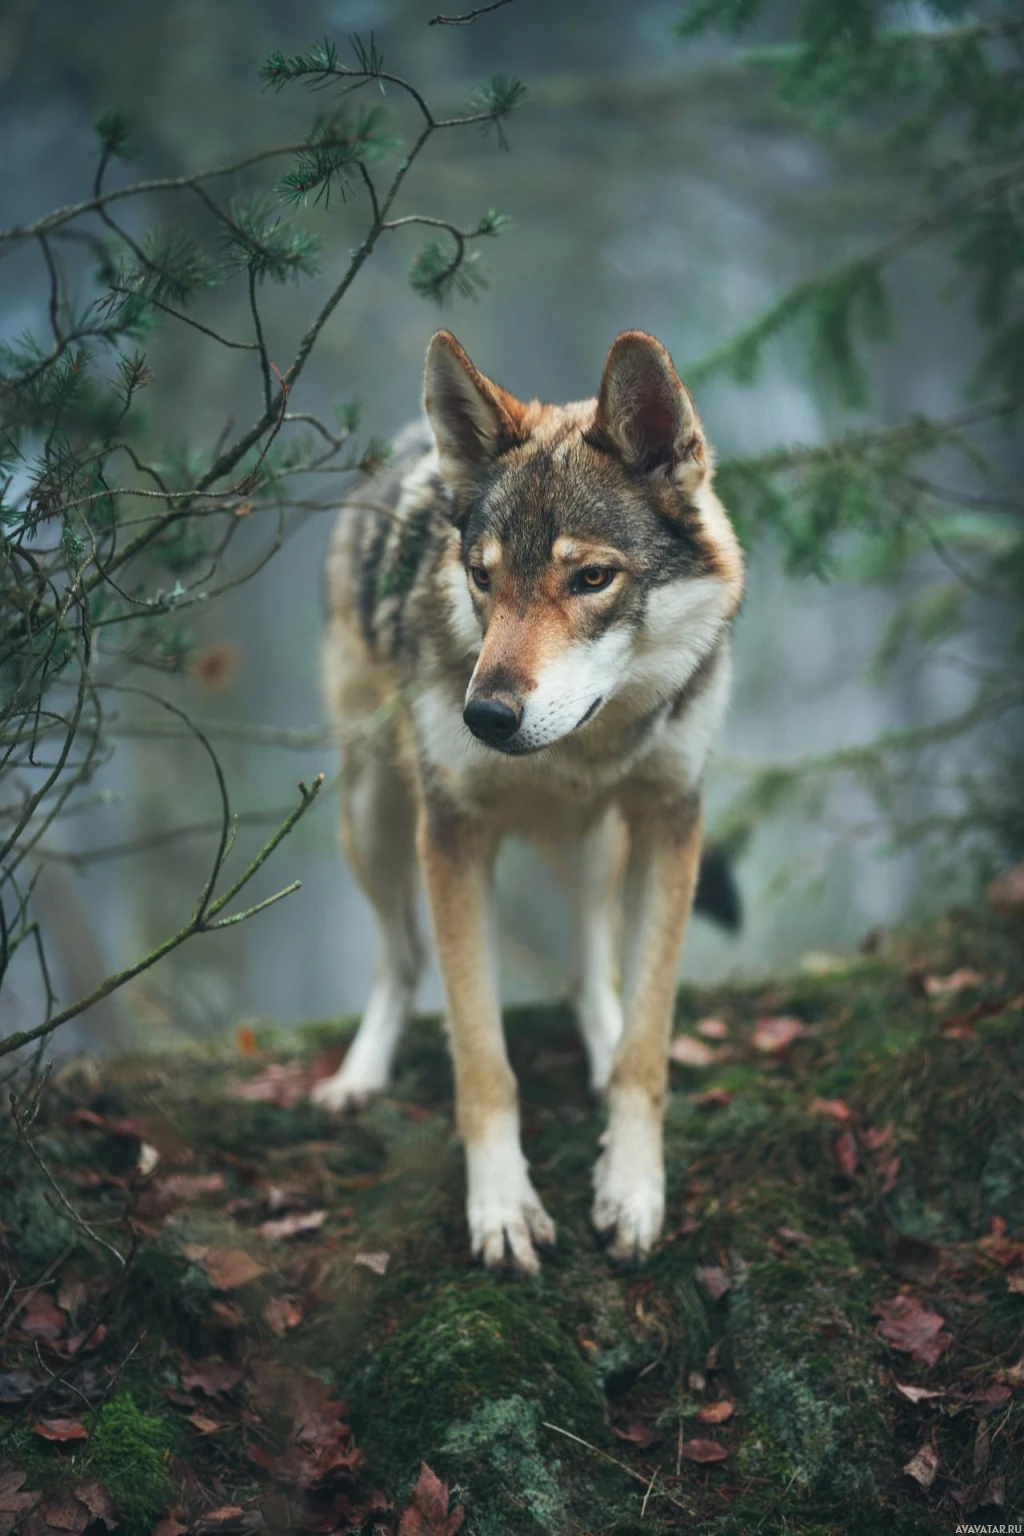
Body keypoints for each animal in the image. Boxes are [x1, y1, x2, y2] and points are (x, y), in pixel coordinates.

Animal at [313, 333, 746, 1271]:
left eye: (591, 578)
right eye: (484, 579)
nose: (484, 716)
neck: (583, 749)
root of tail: (407, 441)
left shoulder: (669, 819)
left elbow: (647, 1046)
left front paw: (632, 1190)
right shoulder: (453, 836)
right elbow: (483, 1061)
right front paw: (503, 1210)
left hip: (593, 845)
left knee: (591, 967)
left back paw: (599, 1045)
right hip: (372, 816)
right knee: (401, 960)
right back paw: (358, 1080)